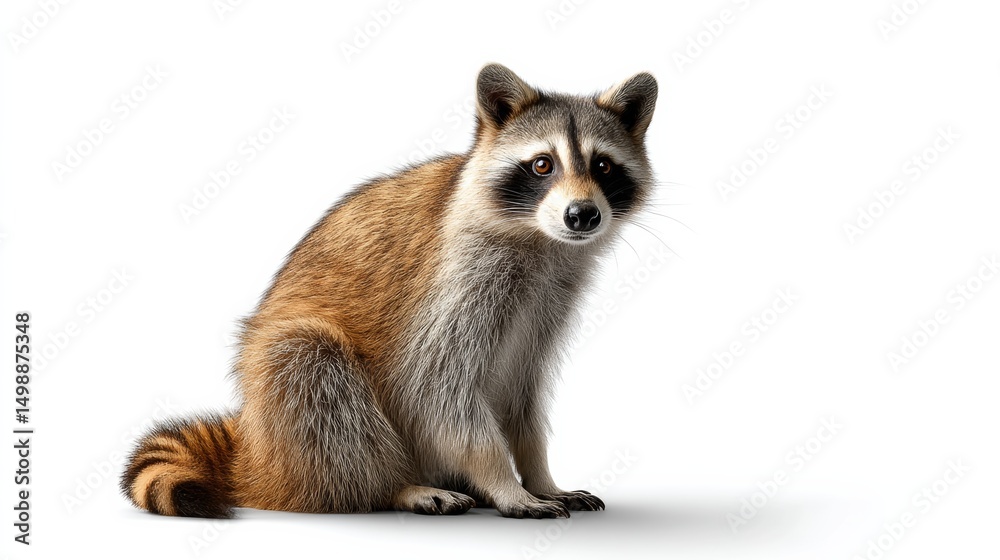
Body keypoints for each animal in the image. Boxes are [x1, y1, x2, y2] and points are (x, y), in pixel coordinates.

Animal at [122, 63, 658, 519]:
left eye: (603, 166)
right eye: (543, 165)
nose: (582, 215)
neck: (542, 241)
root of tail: (253, 449)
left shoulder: (549, 298)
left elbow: (522, 395)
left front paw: (540, 474)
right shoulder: (456, 282)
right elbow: (436, 388)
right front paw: (504, 482)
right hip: (290, 387)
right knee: (312, 369)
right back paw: (394, 486)